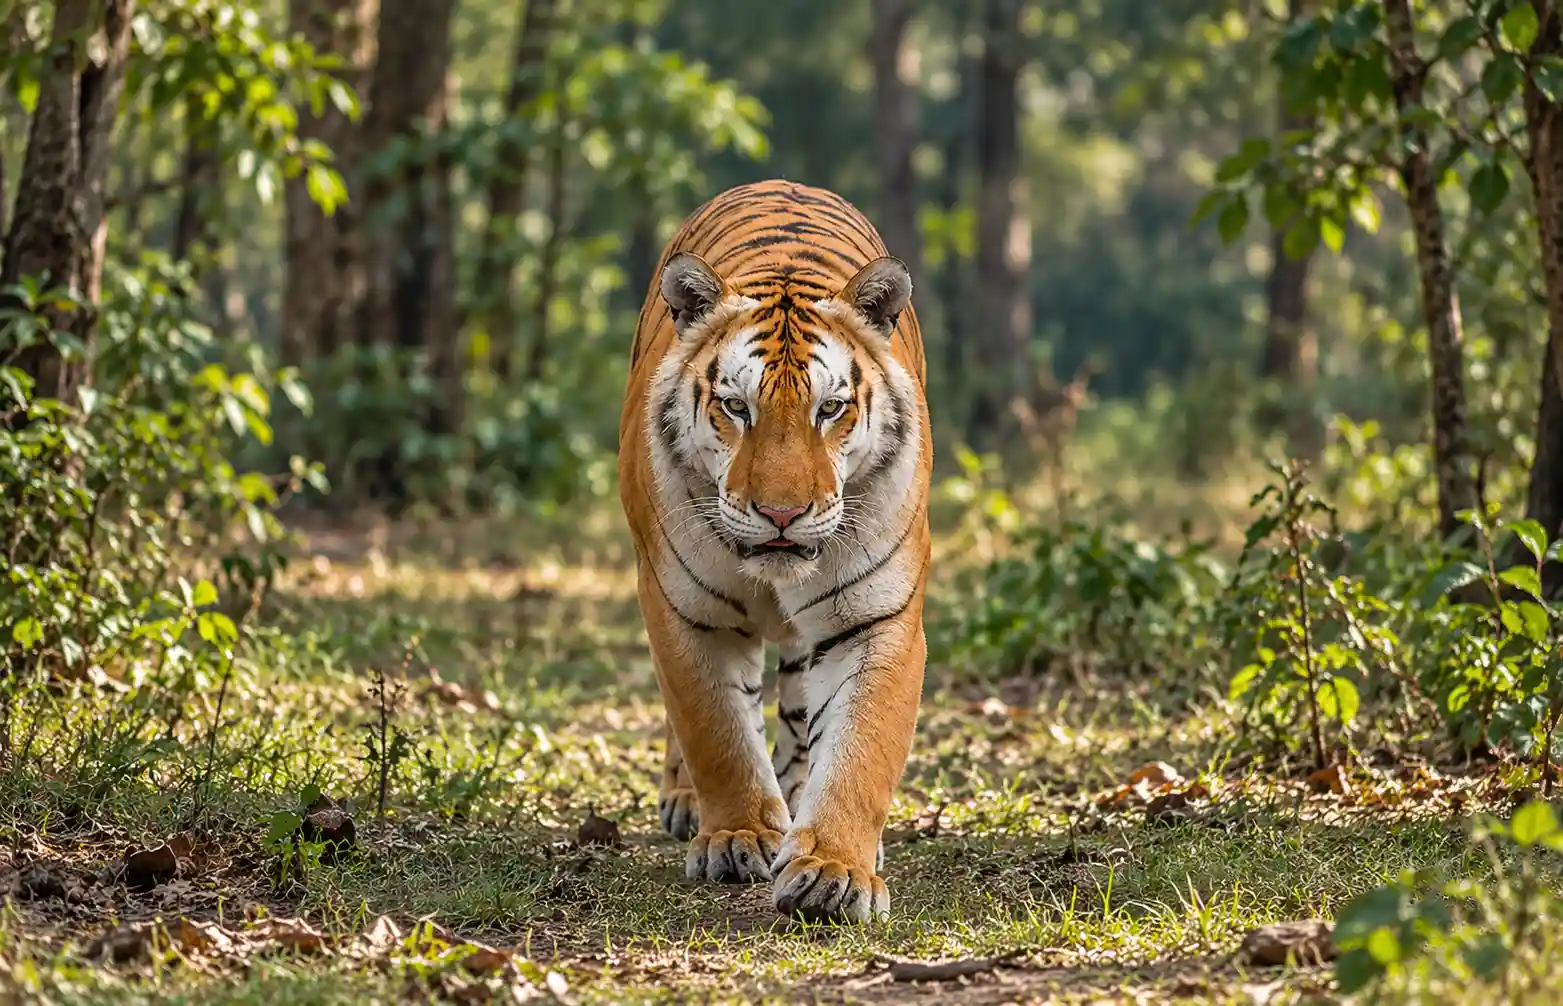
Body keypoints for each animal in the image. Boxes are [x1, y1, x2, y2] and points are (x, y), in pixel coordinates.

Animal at [617, 178, 931, 924]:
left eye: (830, 409)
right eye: (736, 408)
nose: (781, 513)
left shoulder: (875, 618)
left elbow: (859, 748)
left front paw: (834, 869)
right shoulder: (684, 608)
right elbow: (716, 730)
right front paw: (738, 838)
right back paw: (690, 803)